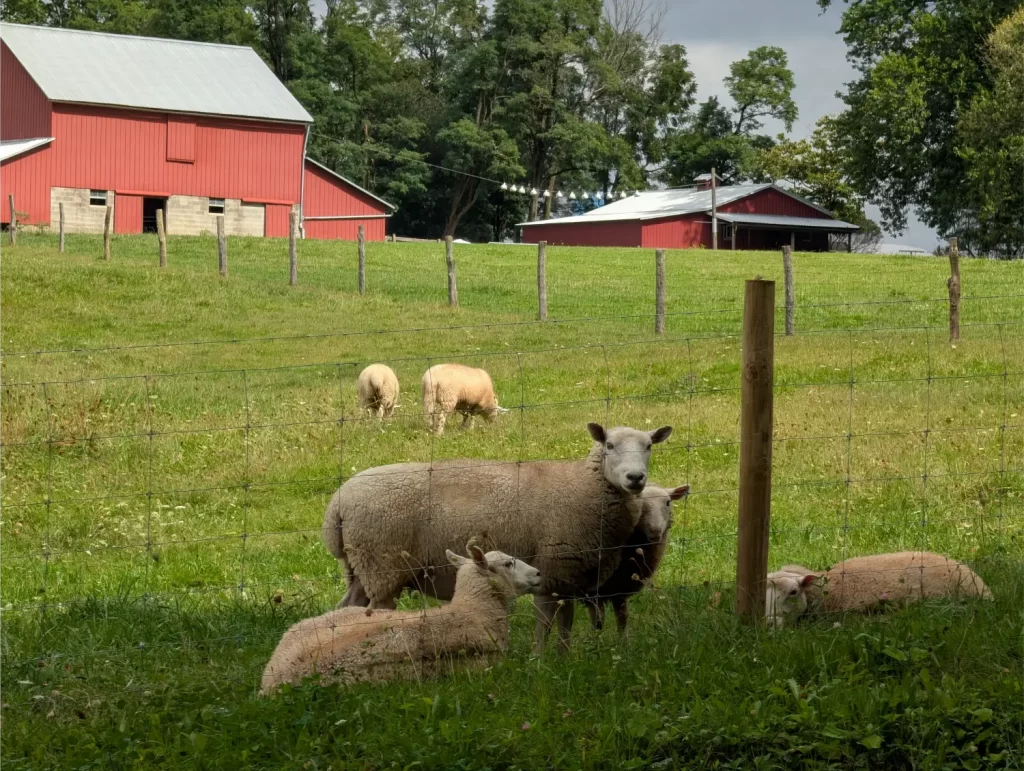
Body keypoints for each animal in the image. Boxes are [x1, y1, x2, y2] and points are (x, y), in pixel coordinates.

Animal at [321, 422, 673, 652]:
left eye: (649, 446)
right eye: (609, 446)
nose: (635, 478)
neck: (584, 487)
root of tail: (338, 502)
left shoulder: (568, 577)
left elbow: (566, 623)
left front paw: (564, 656)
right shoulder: (552, 568)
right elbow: (545, 621)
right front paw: (541, 659)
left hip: (360, 567)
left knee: (346, 607)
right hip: (384, 566)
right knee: (377, 608)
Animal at [585, 483, 690, 635]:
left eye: (668, 502)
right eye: (639, 504)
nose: (655, 531)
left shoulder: (621, 587)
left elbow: (623, 619)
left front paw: (623, 640)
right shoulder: (592, 592)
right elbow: (597, 623)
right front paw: (596, 641)